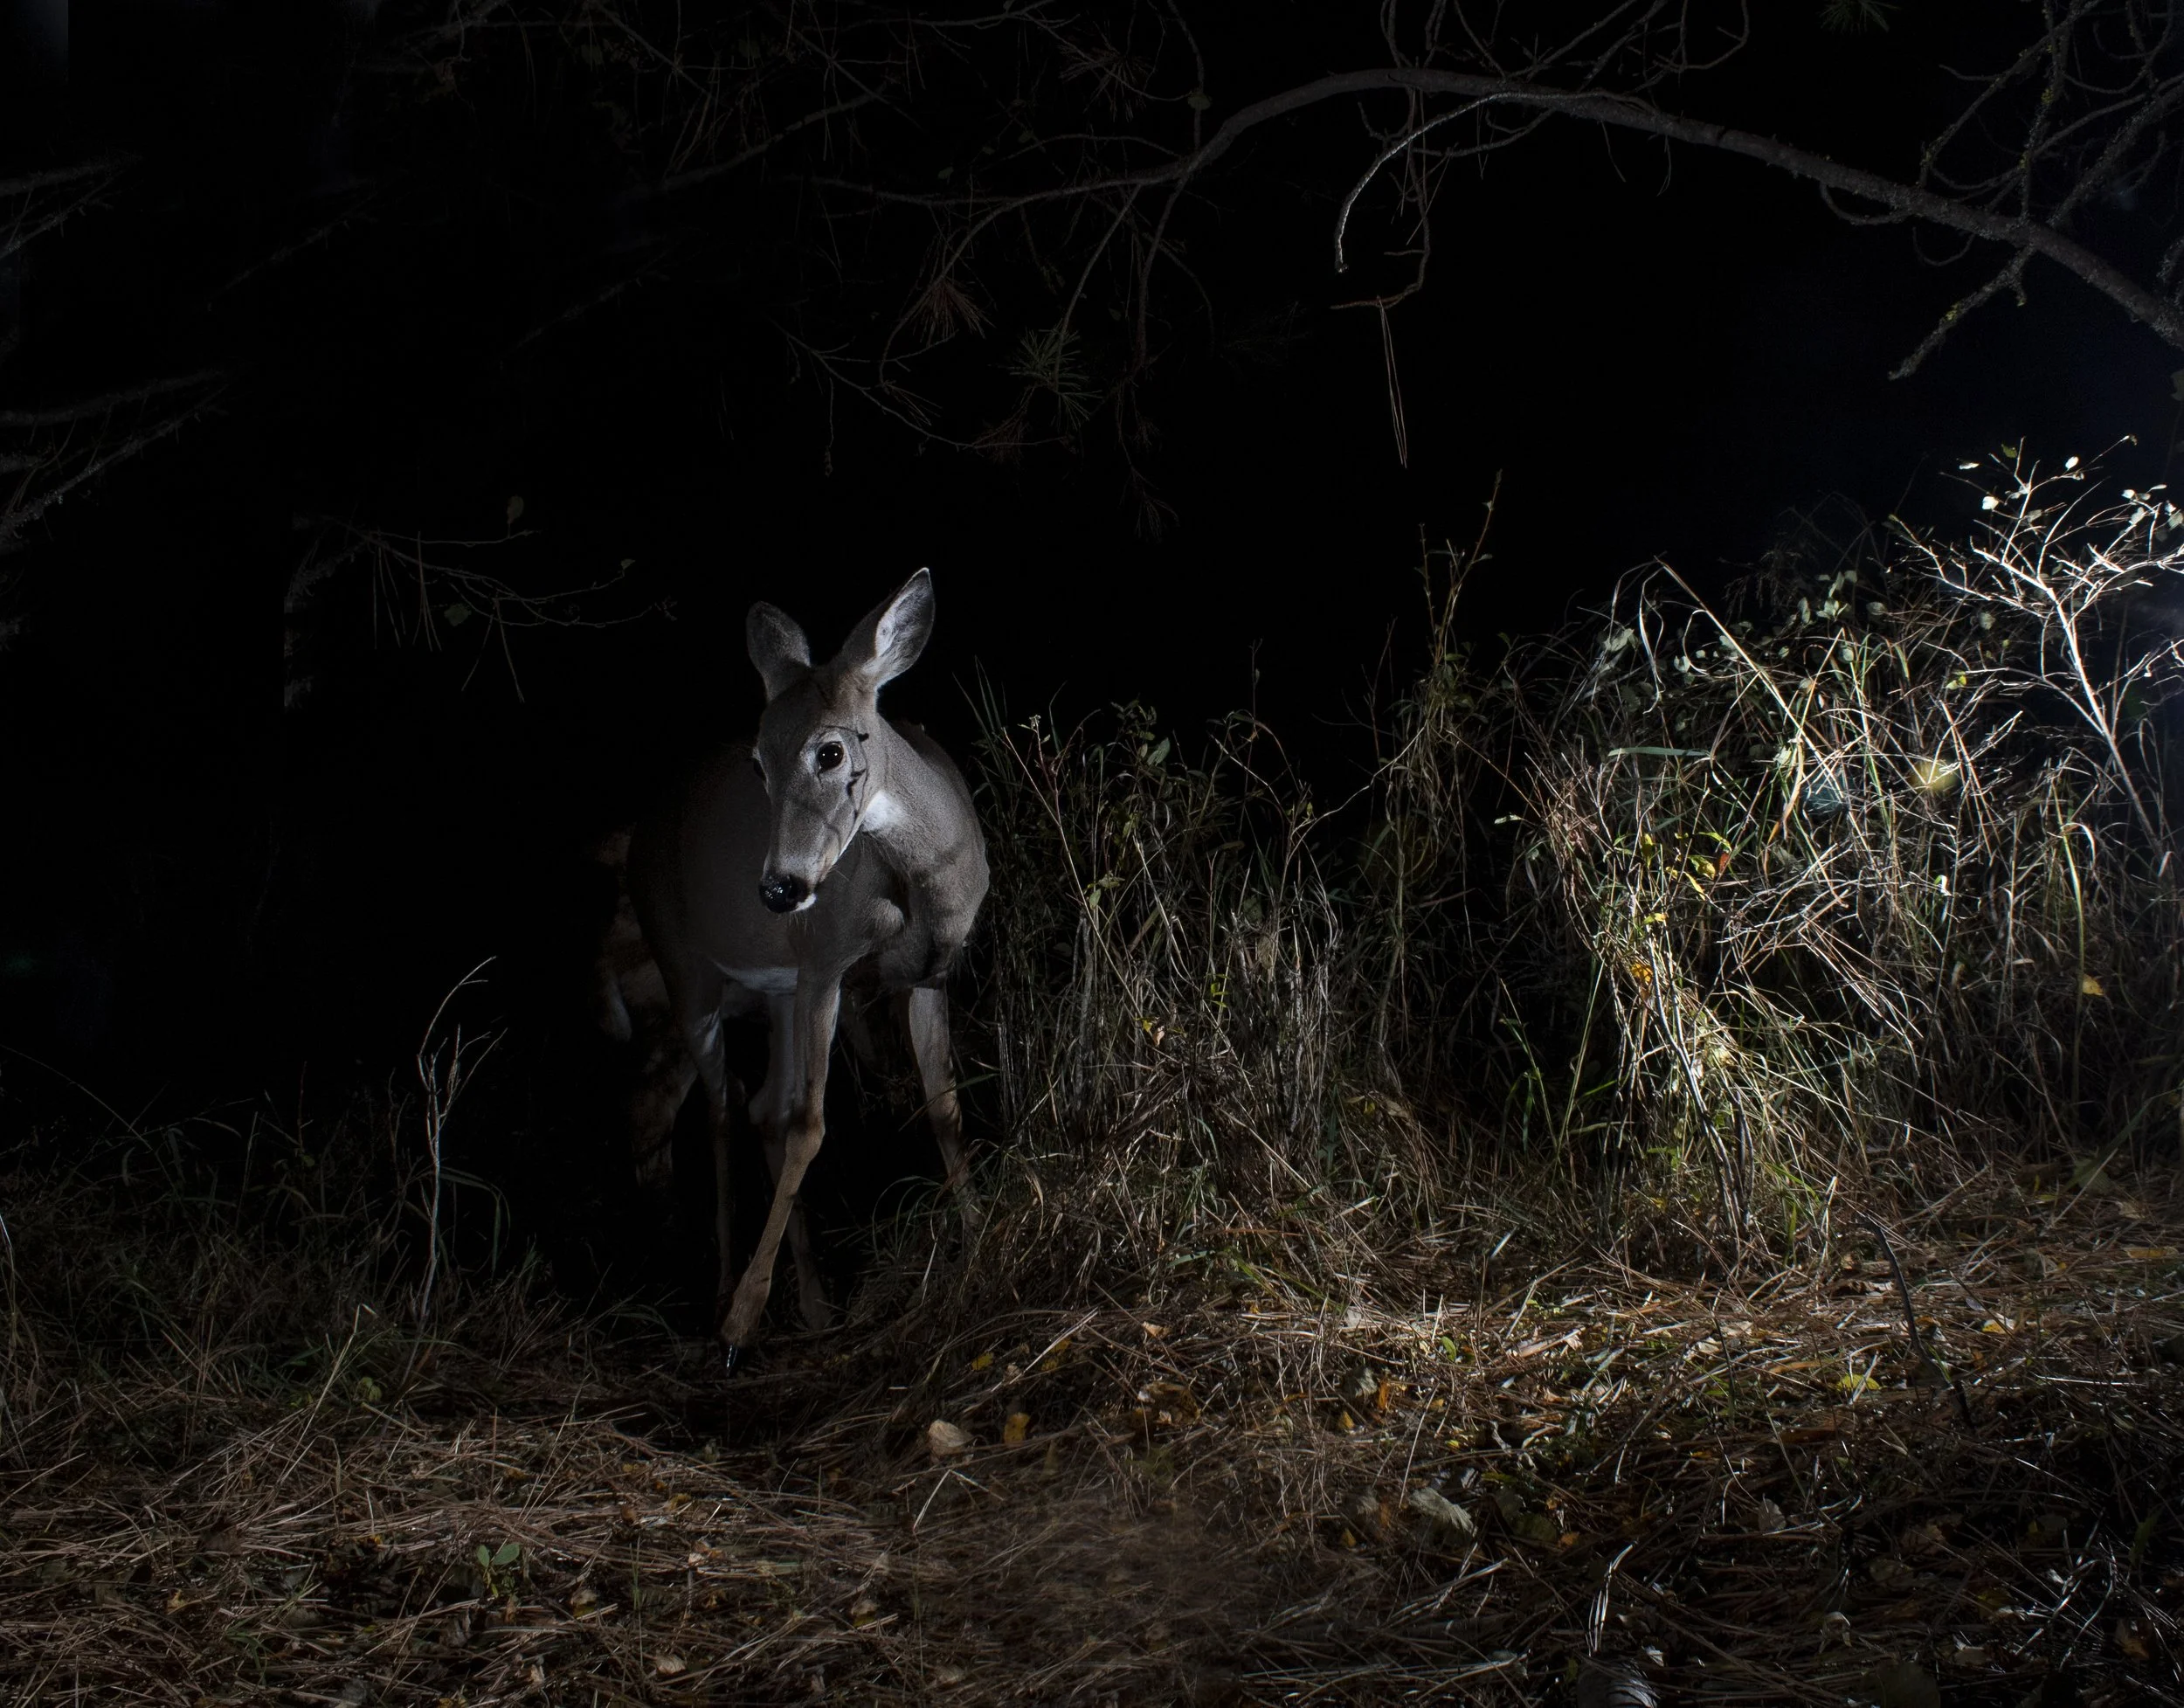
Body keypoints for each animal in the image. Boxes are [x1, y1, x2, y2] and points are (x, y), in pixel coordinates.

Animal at [626, 568, 989, 1367]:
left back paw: (818, 1306)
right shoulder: (826, 961)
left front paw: (978, 1226)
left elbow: (943, 1102)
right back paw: (725, 1295)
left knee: (759, 1104)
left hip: (779, 991)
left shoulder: (928, 975)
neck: (925, 884)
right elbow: (810, 1125)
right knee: (722, 1109)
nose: (779, 889)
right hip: (685, 967)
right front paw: (742, 1319)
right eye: (758, 762)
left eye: (829, 752)